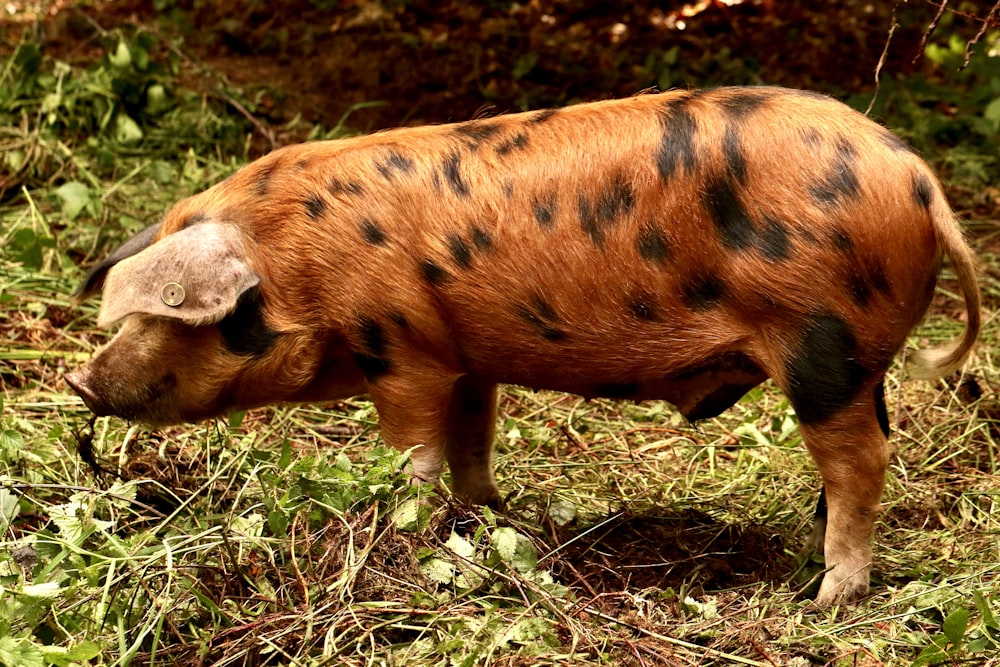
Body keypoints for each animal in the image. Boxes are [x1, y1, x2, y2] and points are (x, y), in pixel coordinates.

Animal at [66, 87, 980, 604]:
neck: (299, 265)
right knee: (865, 450)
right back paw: (802, 563)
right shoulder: (466, 357)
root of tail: (918, 179)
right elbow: (474, 438)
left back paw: (825, 598)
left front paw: (403, 524)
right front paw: (488, 516)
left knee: (861, 461)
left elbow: (414, 450)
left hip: (823, 340)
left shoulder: (400, 347)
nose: (81, 381)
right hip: (858, 360)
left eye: (165, 313)